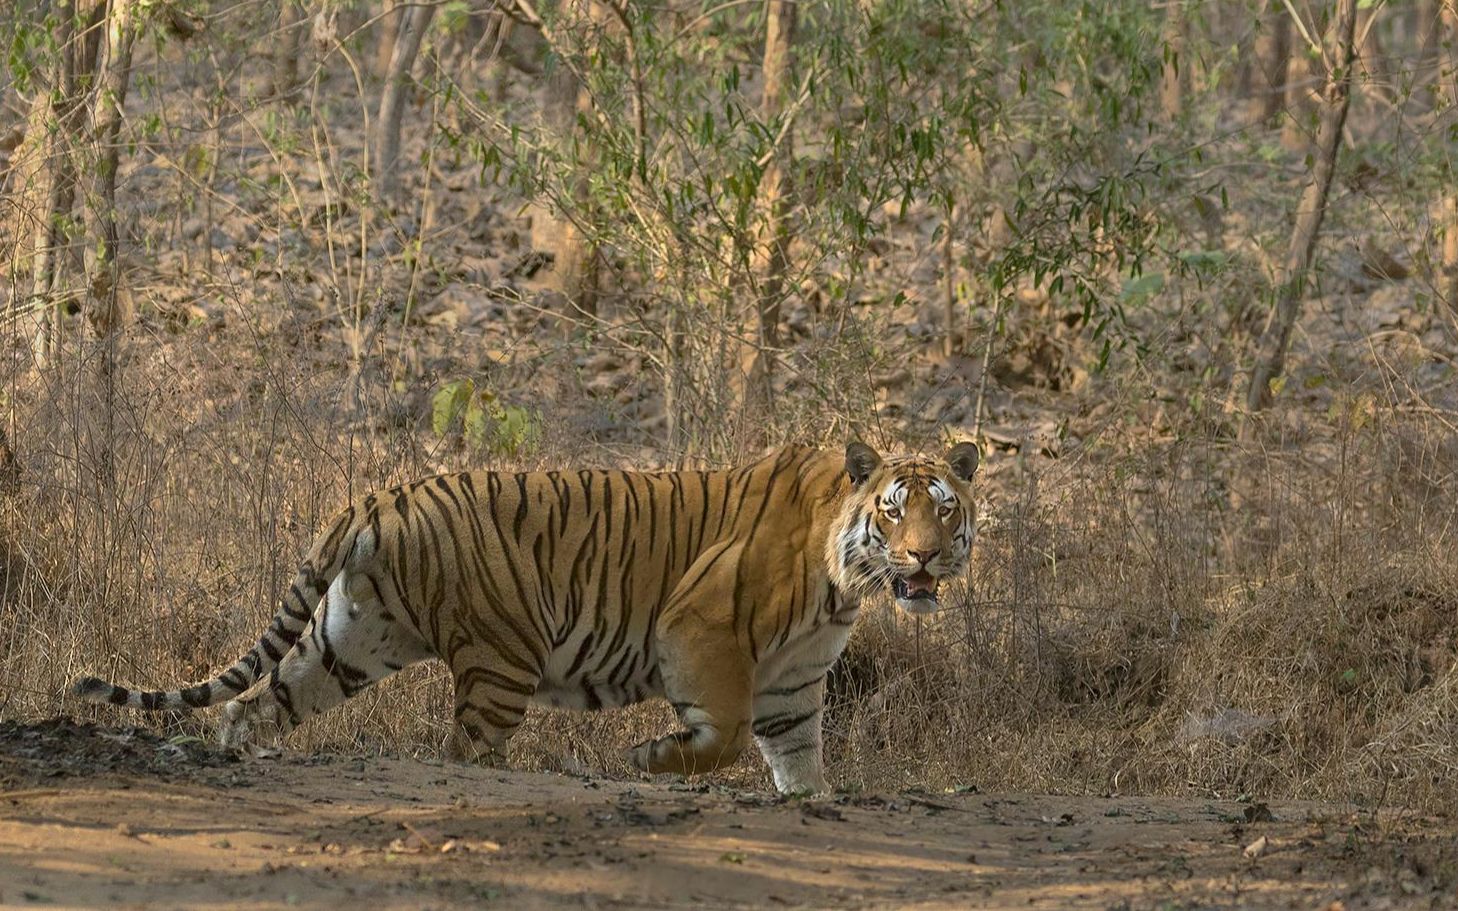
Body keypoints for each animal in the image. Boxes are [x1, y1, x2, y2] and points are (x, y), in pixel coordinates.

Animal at [71, 440, 979, 787]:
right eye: (895, 511)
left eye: (944, 509)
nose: (925, 557)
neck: (844, 580)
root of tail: (381, 494)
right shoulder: (701, 628)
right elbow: (720, 736)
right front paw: (648, 757)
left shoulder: (794, 685)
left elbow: (799, 764)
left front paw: (805, 803)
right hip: (500, 657)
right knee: (465, 750)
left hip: (345, 643)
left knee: (253, 706)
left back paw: (234, 756)